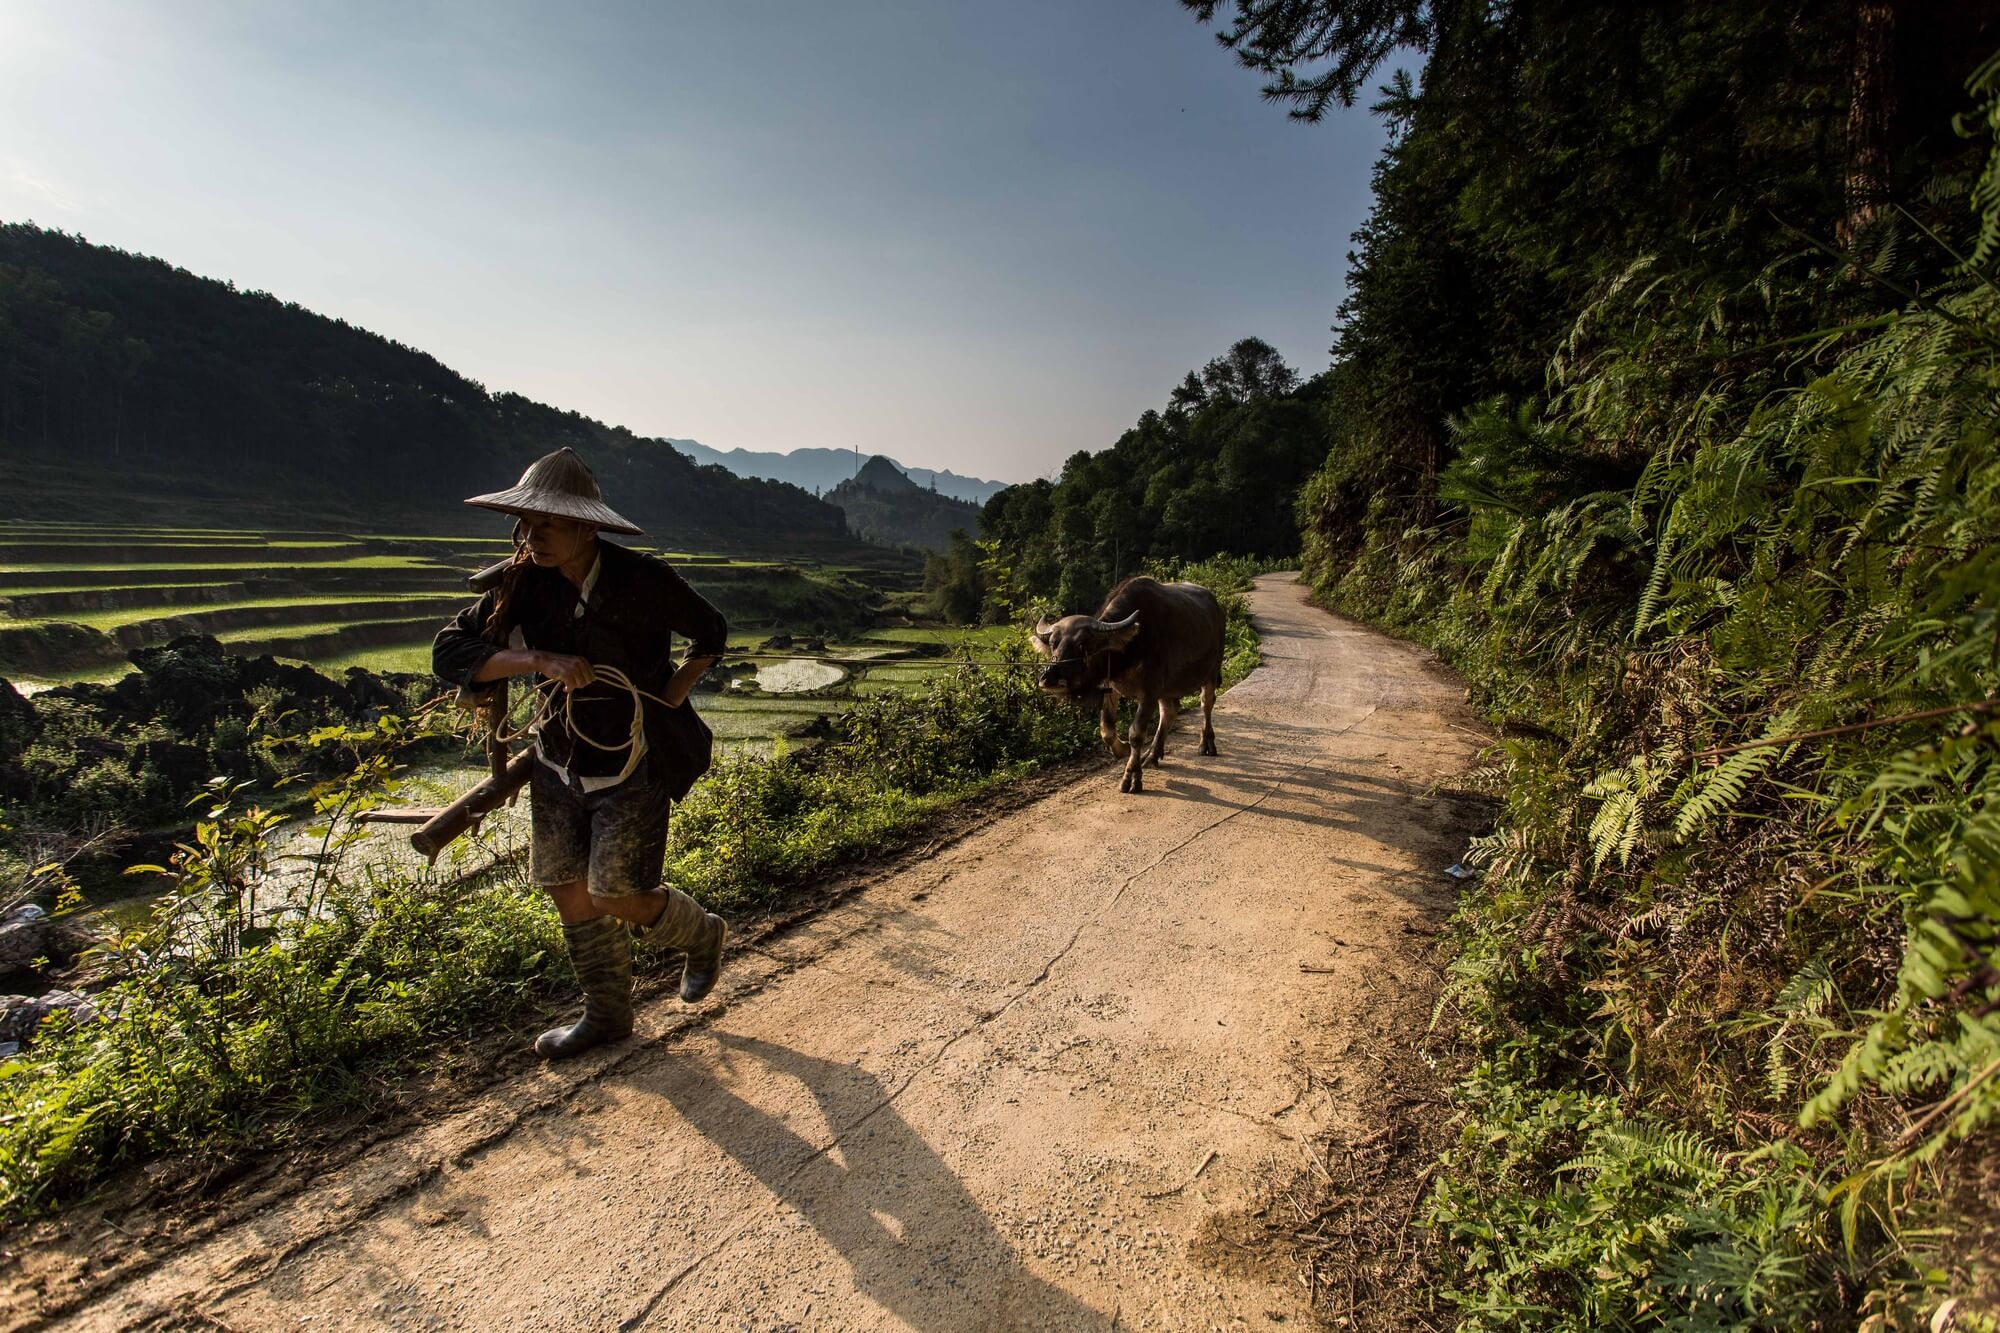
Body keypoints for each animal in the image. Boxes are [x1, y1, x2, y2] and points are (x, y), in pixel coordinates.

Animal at [1040, 572, 1224, 788]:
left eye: (1084, 644)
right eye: (1053, 644)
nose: (1049, 677)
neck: (1129, 648)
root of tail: (1217, 607)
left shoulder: (1150, 692)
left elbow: (1136, 733)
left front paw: (1132, 775)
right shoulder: (1111, 687)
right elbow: (1106, 730)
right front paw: (1124, 749)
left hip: (1211, 672)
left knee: (1206, 704)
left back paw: (1206, 743)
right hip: (1167, 687)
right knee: (1169, 711)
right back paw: (1152, 755)